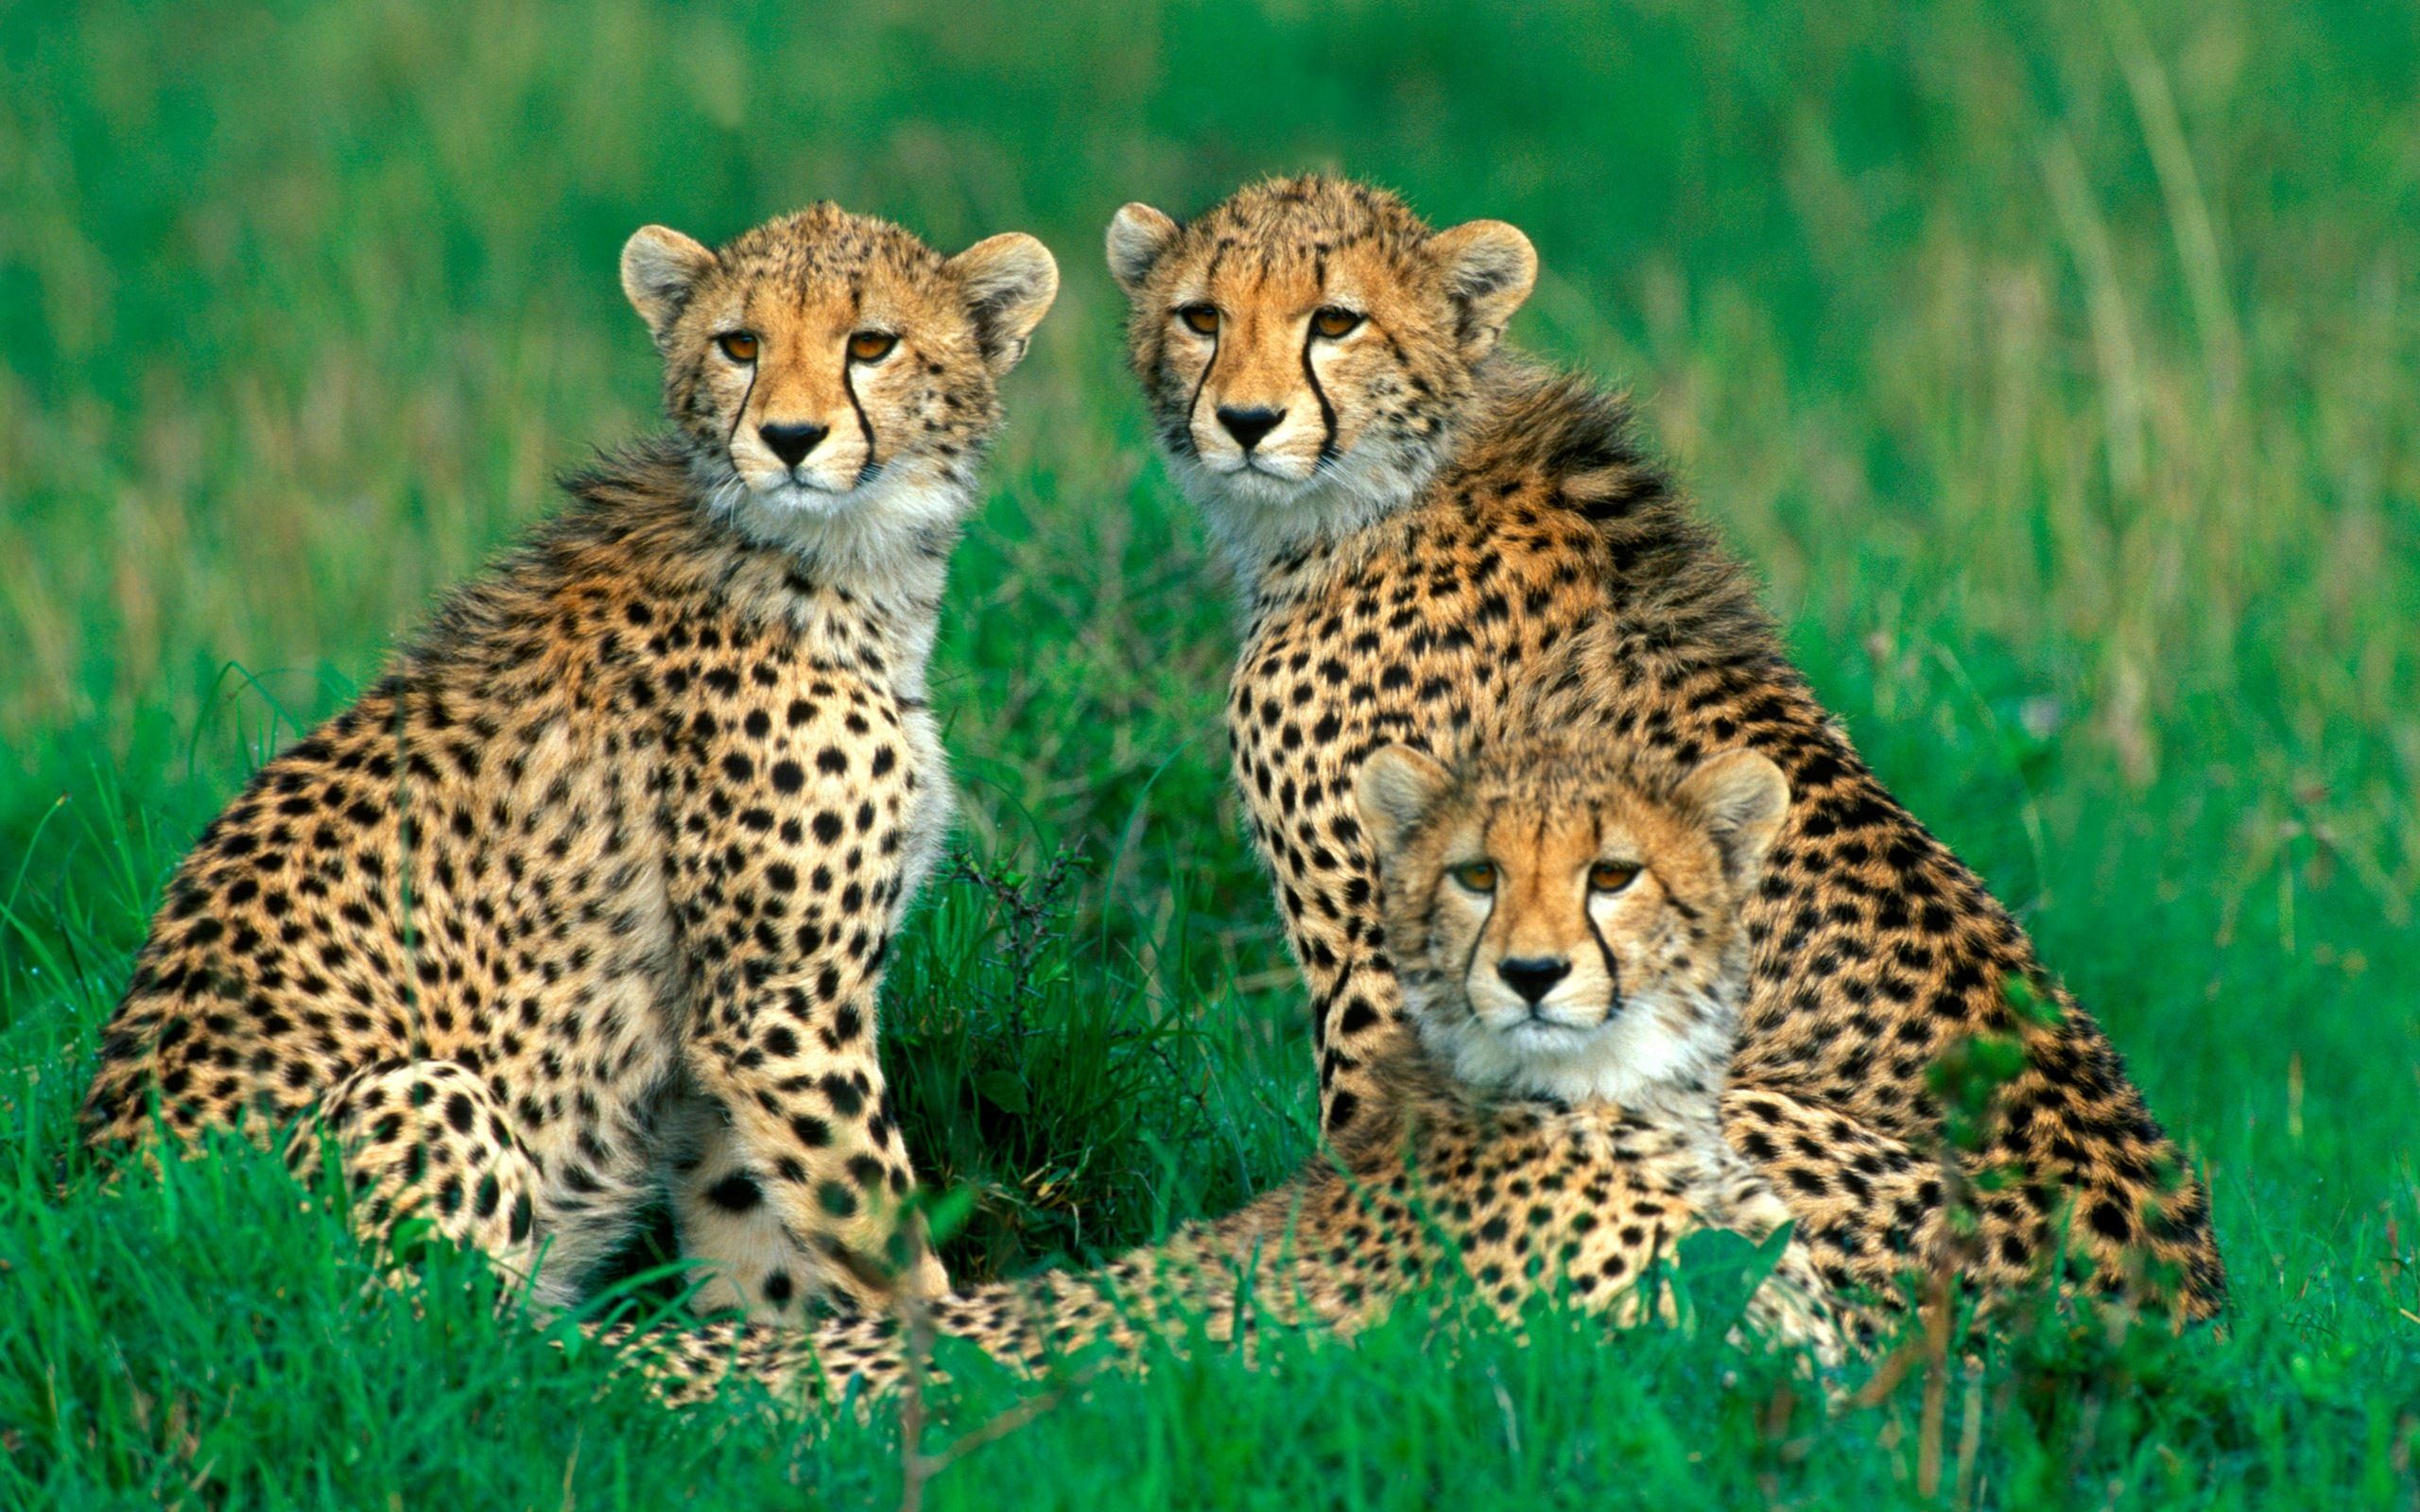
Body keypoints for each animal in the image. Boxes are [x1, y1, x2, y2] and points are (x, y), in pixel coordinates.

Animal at [79, 201, 1060, 1322]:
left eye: (871, 343)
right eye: (739, 344)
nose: (789, 439)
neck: (830, 558)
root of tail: (107, 1250)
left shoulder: (722, 1036)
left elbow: (756, 1234)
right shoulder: (778, 1008)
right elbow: (880, 1229)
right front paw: (960, 1348)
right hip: (422, 1094)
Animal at [1101, 173, 2223, 1321]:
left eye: (1335, 320)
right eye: (1201, 317)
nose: (1244, 421)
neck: (1384, 492)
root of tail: (2176, 1310)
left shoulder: (1391, 954)